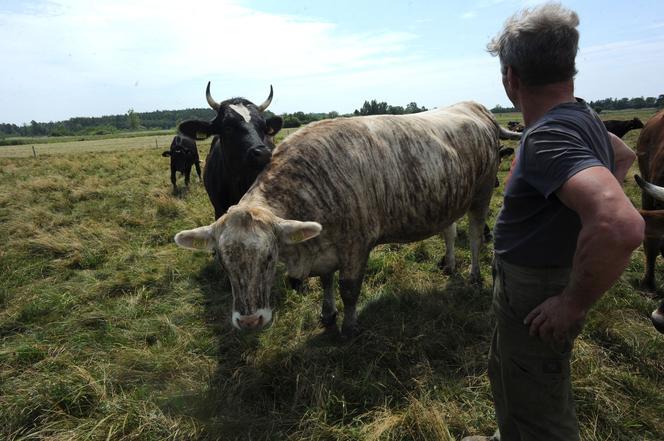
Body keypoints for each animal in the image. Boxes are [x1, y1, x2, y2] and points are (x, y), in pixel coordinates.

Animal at [174, 102, 520, 336]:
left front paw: (350, 326)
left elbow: (349, 288)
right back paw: (449, 264)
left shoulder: (356, 246)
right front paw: (327, 315)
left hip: (482, 192)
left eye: (270, 257)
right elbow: (326, 282)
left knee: (474, 235)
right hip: (448, 196)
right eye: (221, 260)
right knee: (449, 231)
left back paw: (474, 275)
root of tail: (476, 107)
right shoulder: (324, 247)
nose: (249, 321)